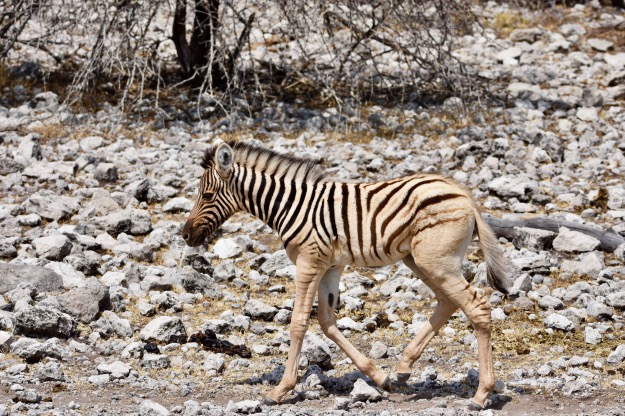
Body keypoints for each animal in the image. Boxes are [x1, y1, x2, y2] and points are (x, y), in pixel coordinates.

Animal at [179, 141, 508, 410]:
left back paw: (481, 395)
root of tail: (466, 196)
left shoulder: (309, 262)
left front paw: (280, 390)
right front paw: (379, 377)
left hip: (435, 260)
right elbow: (327, 322)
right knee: (448, 302)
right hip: (420, 260)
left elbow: (299, 322)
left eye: (207, 194)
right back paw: (403, 368)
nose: (184, 235)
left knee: (476, 306)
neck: (290, 206)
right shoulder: (330, 267)